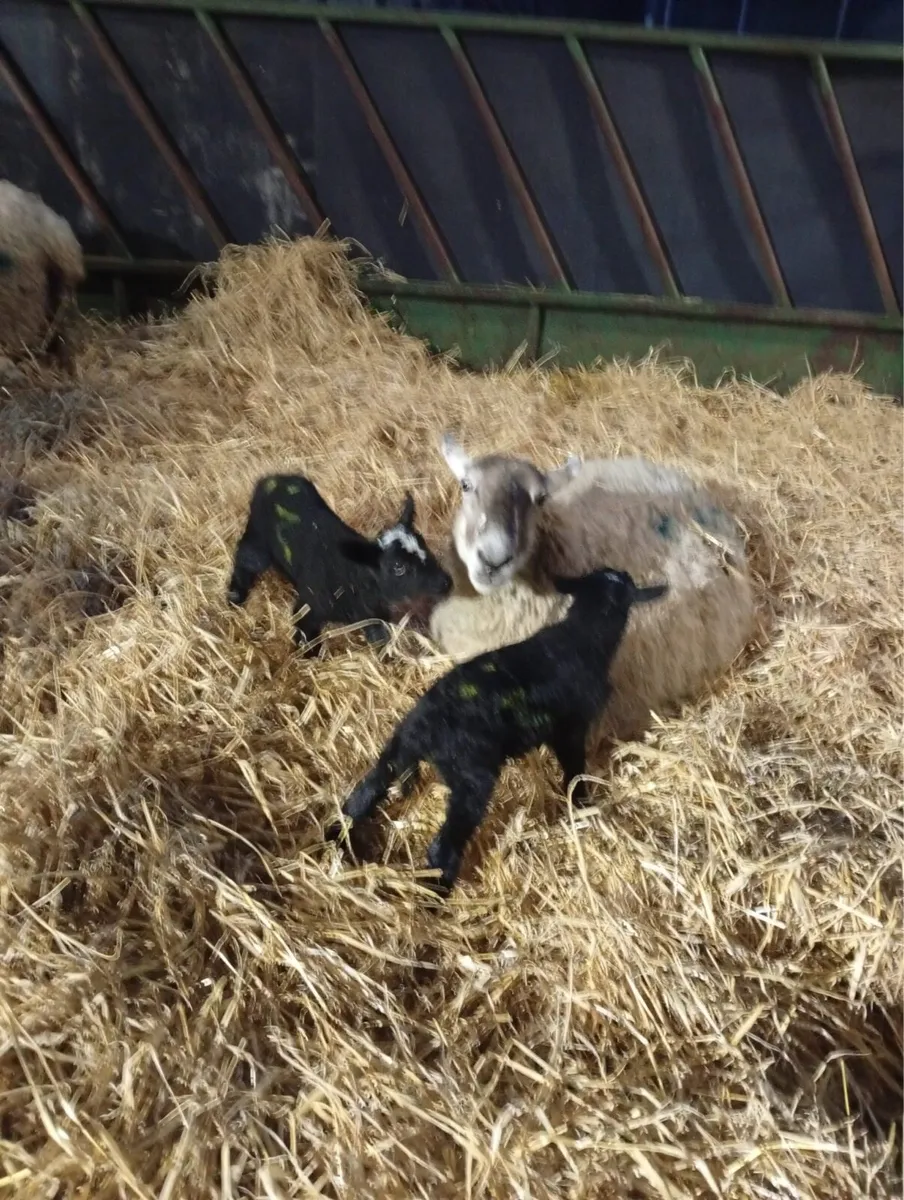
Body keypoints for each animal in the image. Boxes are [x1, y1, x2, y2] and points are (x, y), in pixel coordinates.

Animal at [227, 473, 451, 654]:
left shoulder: (372, 616)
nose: (446, 582)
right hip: (258, 538)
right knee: (245, 559)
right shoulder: (309, 606)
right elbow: (306, 638)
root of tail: (271, 479)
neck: (352, 577)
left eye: (424, 545)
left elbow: (379, 639)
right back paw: (235, 597)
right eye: (398, 566)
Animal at [330, 566, 668, 894]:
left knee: (361, 798)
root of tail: (428, 729)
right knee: (443, 846)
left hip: (397, 750)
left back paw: (336, 840)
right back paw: (436, 894)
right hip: (471, 776)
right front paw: (581, 803)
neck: (583, 633)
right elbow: (574, 770)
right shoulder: (571, 728)